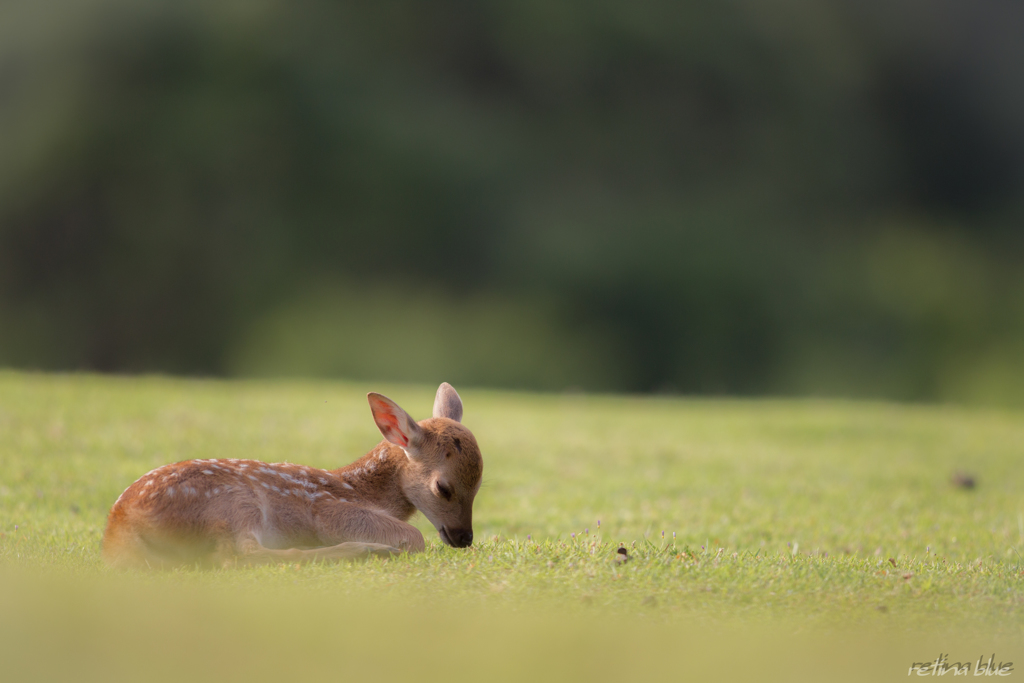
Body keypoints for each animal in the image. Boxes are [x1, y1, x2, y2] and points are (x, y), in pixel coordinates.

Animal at [101, 382, 481, 569]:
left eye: (479, 485)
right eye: (443, 488)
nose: (465, 537)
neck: (362, 489)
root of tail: (119, 523)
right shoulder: (326, 509)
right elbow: (414, 536)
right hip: (232, 502)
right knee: (238, 555)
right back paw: (368, 550)